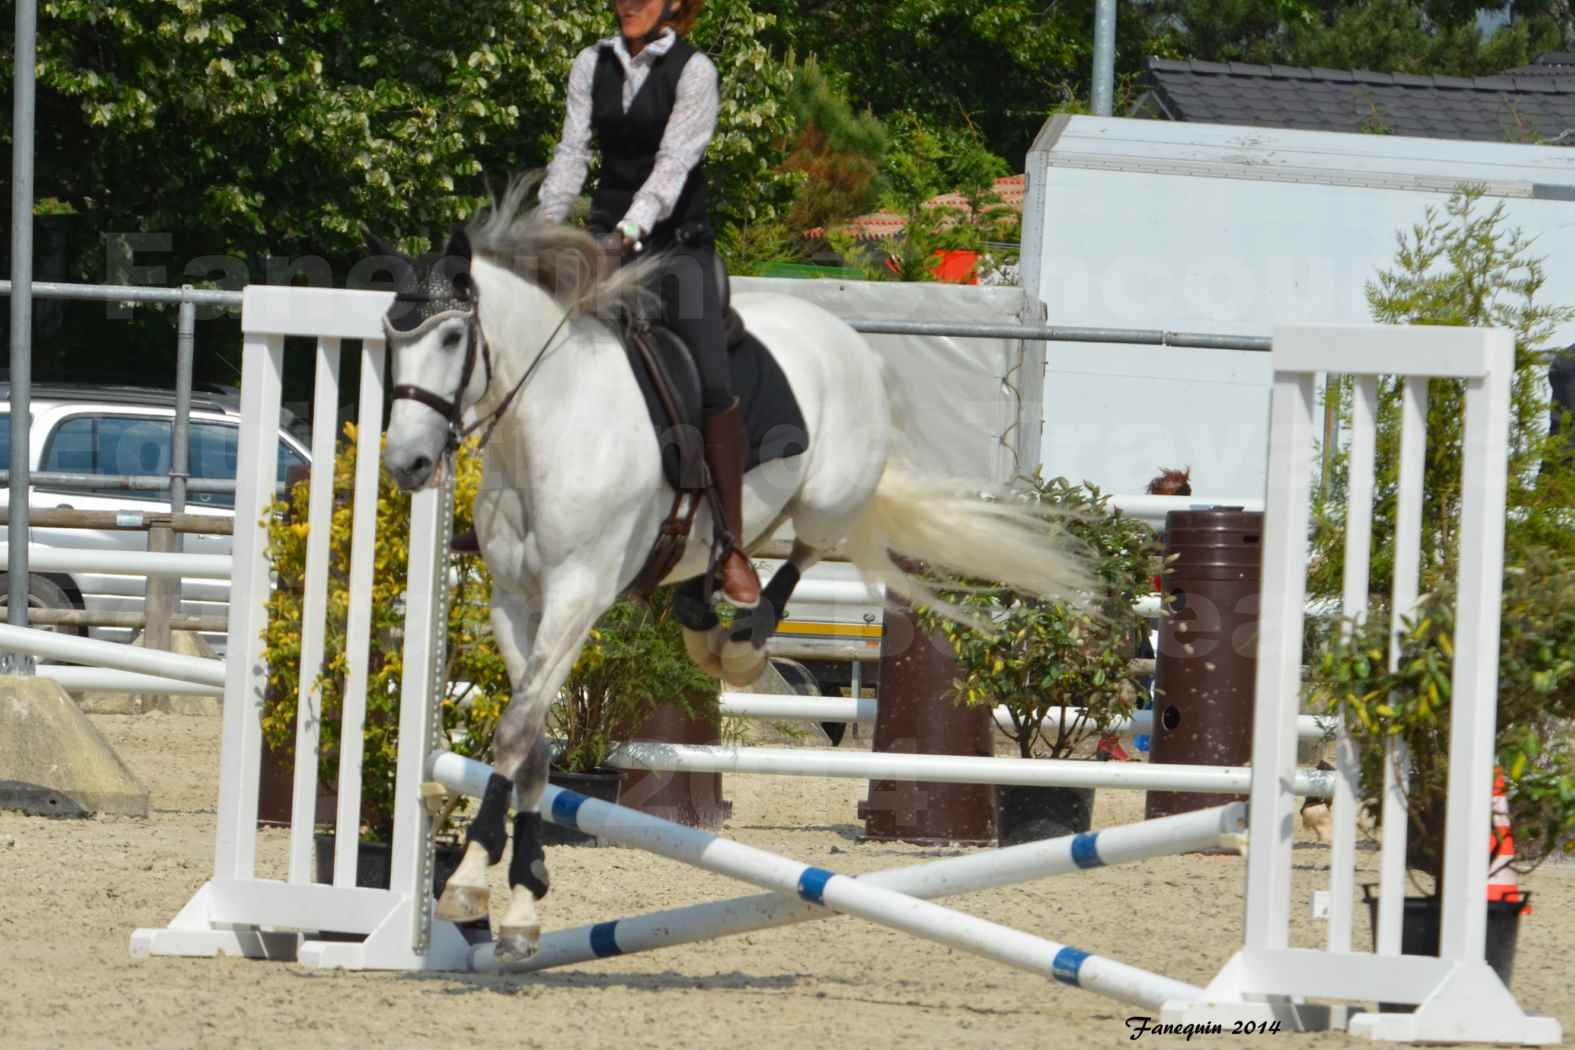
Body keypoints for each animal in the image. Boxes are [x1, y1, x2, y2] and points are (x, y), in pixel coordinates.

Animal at [381, 178, 1096, 963]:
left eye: (452, 337)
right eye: (391, 336)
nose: (407, 463)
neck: (548, 426)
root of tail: (843, 335)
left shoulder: (576, 595)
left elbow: (514, 733)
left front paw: (470, 885)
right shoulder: (514, 600)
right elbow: (531, 741)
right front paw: (518, 900)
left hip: (827, 494)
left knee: (803, 549)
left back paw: (745, 638)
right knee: (734, 546)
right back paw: (705, 620)